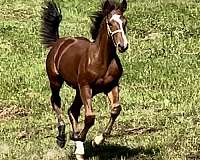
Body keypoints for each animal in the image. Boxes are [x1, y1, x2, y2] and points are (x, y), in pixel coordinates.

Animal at [40, 0, 128, 159]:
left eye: (125, 22)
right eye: (110, 23)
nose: (123, 46)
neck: (101, 60)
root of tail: (59, 43)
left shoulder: (112, 85)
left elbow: (115, 109)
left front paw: (97, 140)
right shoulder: (86, 87)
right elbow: (90, 117)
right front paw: (80, 137)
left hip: (78, 90)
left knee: (72, 110)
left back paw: (79, 150)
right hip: (57, 81)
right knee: (56, 101)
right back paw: (62, 138)